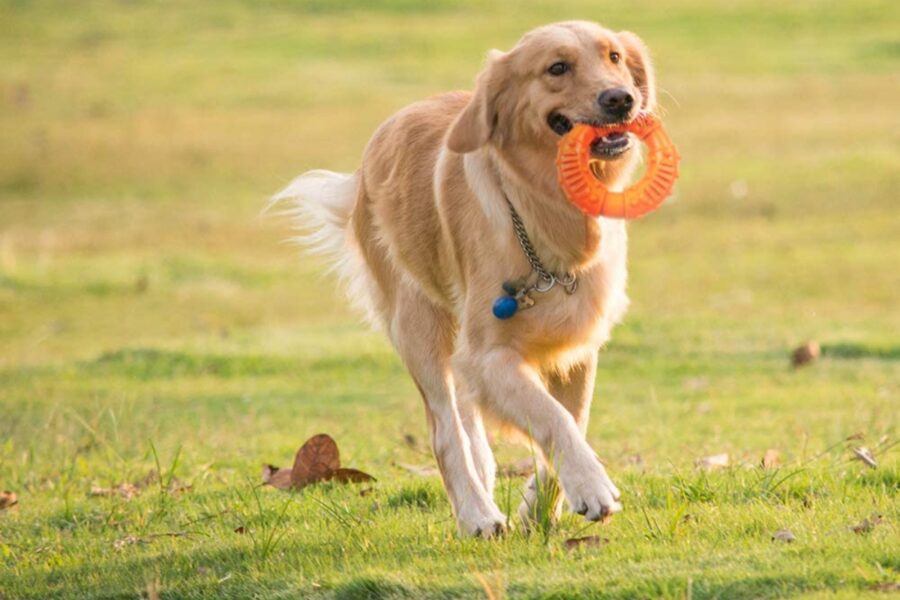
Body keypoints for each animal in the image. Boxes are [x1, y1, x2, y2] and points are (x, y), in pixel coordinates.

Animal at [274, 21, 652, 536]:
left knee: (469, 423)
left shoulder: (575, 347)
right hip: (418, 326)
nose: (621, 99)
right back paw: (476, 513)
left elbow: (573, 417)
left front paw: (539, 506)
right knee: (445, 430)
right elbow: (551, 417)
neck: (545, 212)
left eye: (614, 57)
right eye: (557, 67)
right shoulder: (489, 354)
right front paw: (592, 486)